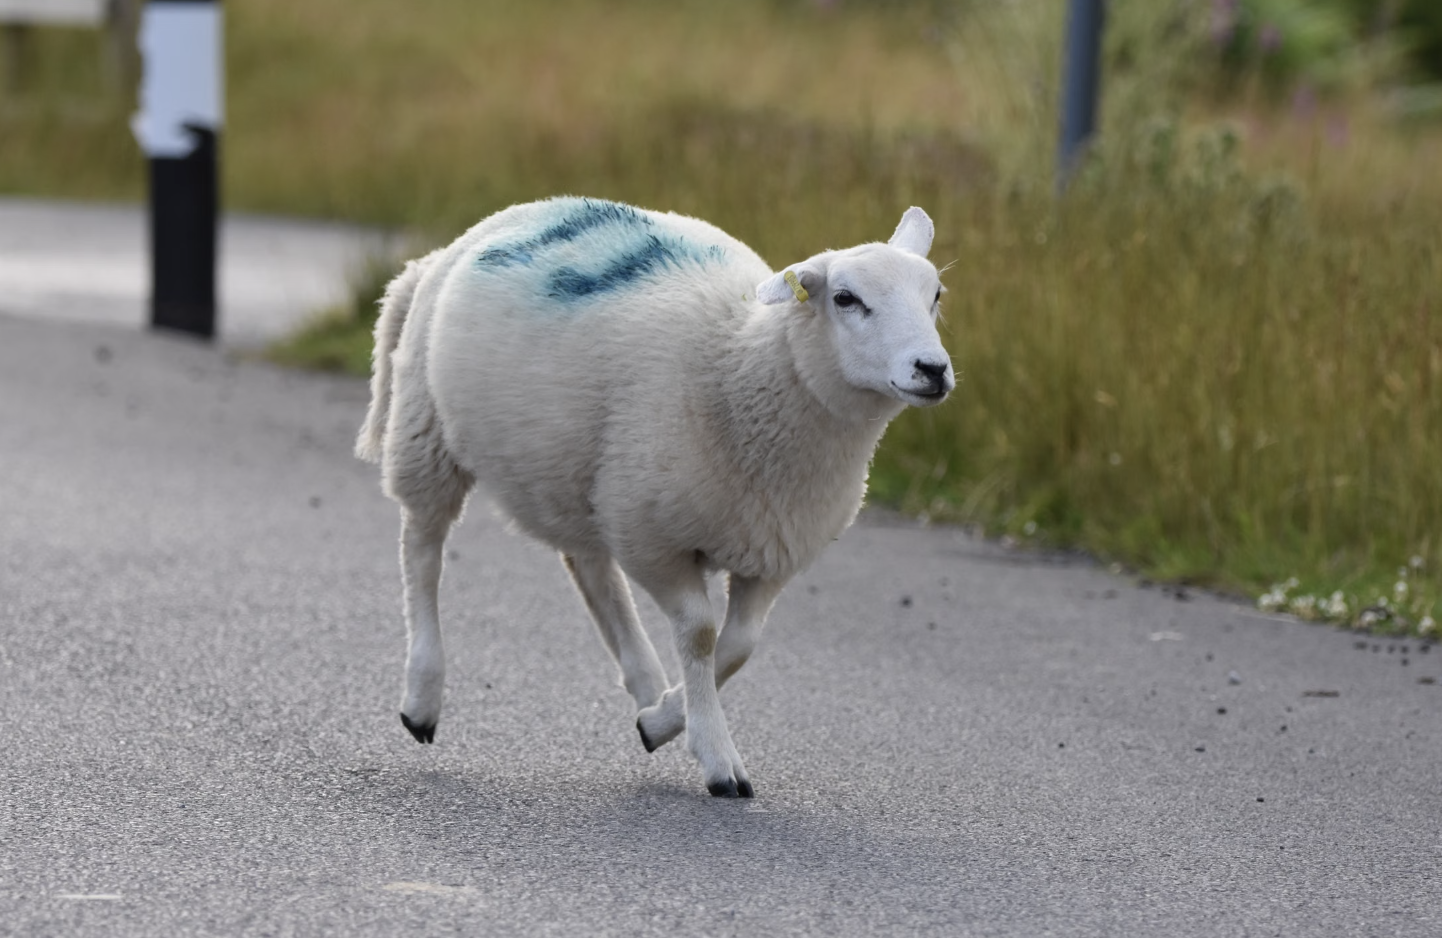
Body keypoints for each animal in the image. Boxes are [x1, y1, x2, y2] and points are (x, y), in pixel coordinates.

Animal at [357, 197, 954, 797]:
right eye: (845, 298)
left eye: (936, 295)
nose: (932, 369)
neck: (742, 368)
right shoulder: (652, 538)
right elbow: (701, 634)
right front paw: (716, 755)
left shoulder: (770, 551)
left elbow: (739, 646)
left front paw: (665, 719)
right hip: (429, 433)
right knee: (423, 553)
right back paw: (422, 698)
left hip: (577, 475)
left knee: (590, 569)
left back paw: (646, 684)